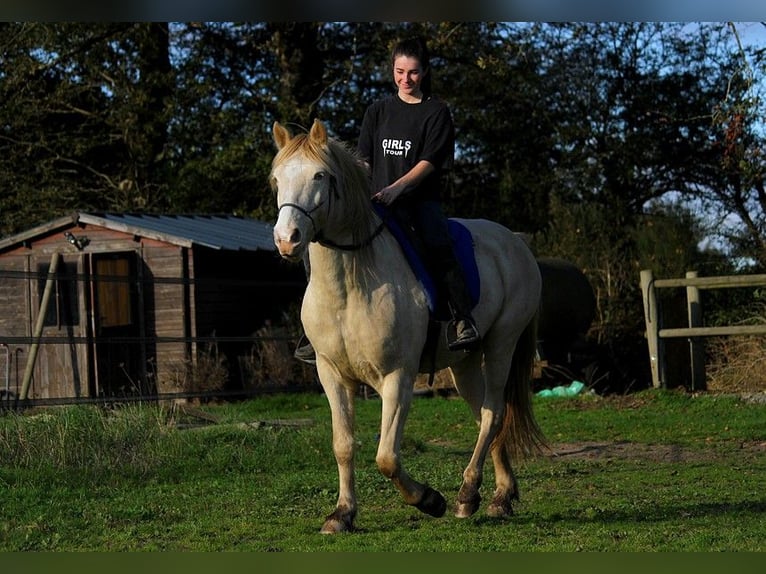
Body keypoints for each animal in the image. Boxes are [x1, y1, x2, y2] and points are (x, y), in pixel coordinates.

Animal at [270, 120, 544, 536]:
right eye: (277, 179)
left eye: (320, 175)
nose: (287, 239)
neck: (351, 286)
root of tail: (514, 242)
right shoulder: (331, 375)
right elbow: (343, 445)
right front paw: (342, 514)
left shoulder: (397, 376)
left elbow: (386, 456)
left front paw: (429, 500)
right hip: (465, 363)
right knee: (485, 415)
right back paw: (498, 495)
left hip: (501, 345)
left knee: (494, 413)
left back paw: (467, 494)